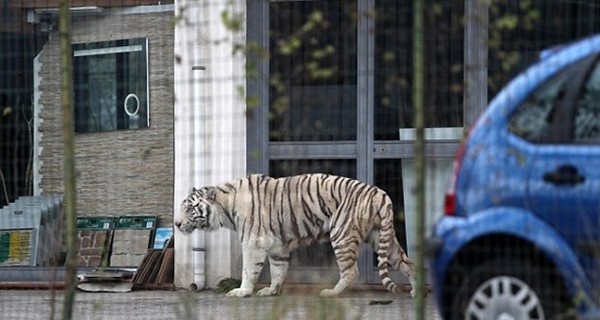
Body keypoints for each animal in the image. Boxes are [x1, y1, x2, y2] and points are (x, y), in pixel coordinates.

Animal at [176, 174, 414, 298]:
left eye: (190, 208)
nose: (177, 224)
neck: (225, 207)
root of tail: (380, 193)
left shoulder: (253, 243)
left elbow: (248, 270)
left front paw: (242, 291)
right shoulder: (277, 246)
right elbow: (278, 270)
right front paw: (271, 291)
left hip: (342, 234)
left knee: (352, 271)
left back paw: (331, 293)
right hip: (382, 238)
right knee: (408, 263)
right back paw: (415, 291)